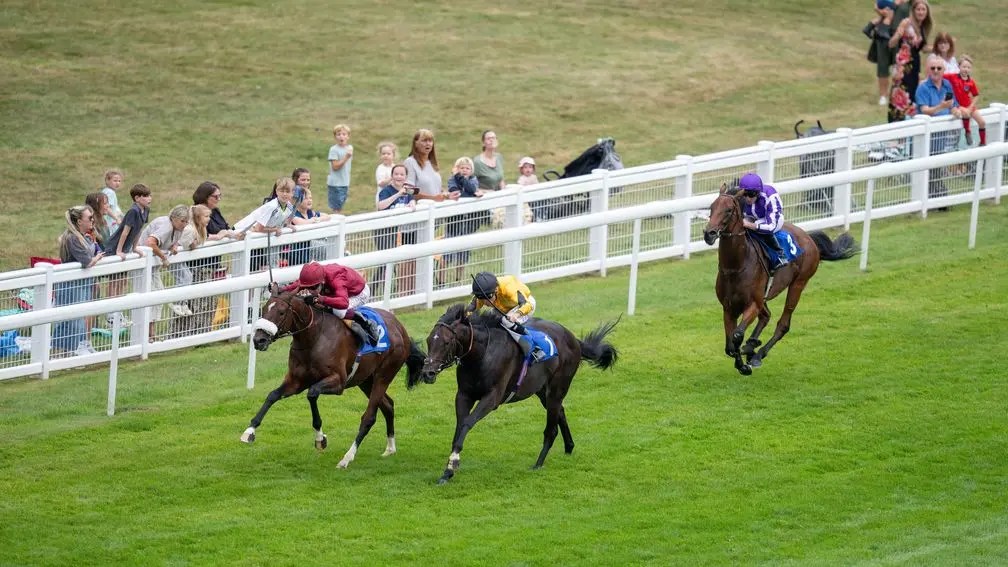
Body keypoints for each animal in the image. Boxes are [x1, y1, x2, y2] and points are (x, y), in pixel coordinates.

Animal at [242, 290, 427, 469]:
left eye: (281, 312)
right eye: (263, 310)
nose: (259, 340)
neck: (313, 338)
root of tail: (401, 329)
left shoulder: (338, 383)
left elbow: (312, 393)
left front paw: (320, 439)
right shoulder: (296, 381)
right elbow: (272, 395)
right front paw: (249, 431)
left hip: (384, 375)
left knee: (369, 417)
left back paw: (347, 458)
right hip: (366, 380)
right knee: (388, 405)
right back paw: (390, 448)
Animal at [419, 304, 619, 484]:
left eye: (446, 342)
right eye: (429, 340)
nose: (427, 373)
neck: (481, 354)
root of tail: (574, 339)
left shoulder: (492, 398)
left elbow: (467, 422)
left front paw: (452, 464)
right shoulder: (464, 395)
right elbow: (460, 425)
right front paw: (448, 471)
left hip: (557, 388)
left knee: (551, 428)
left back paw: (538, 463)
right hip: (542, 390)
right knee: (560, 412)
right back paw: (569, 447)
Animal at [702, 183, 857, 375]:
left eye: (729, 210)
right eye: (711, 207)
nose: (708, 233)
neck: (736, 266)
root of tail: (808, 237)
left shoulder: (753, 303)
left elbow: (737, 335)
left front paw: (744, 365)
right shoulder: (729, 308)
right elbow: (729, 345)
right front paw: (743, 358)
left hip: (798, 283)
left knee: (783, 324)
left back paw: (758, 354)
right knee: (766, 316)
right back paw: (751, 346)